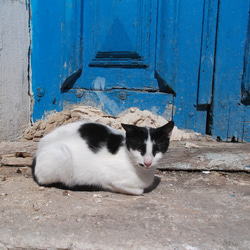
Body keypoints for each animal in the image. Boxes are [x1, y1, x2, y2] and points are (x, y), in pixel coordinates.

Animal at [31, 120, 174, 194]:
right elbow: (138, 191)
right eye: (139, 149)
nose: (148, 162)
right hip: (61, 153)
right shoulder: (105, 174)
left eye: (157, 150)